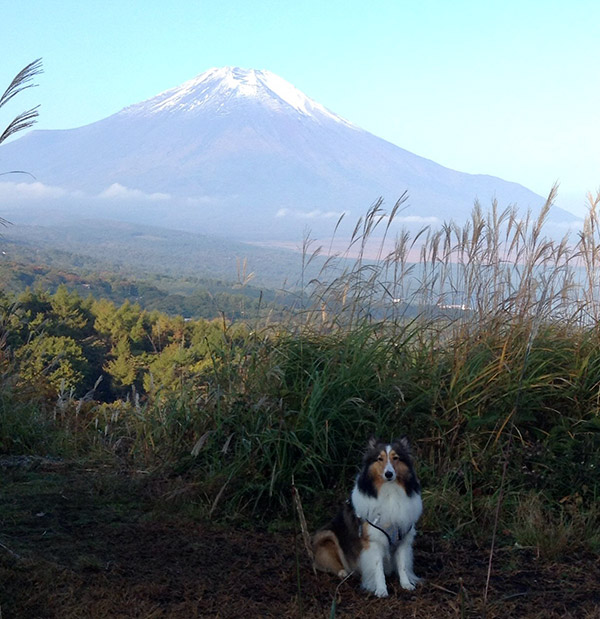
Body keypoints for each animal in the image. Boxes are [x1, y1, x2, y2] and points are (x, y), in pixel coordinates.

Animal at [314, 438, 422, 600]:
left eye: (396, 458)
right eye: (380, 458)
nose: (388, 474)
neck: (390, 491)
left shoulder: (403, 538)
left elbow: (402, 565)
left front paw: (406, 584)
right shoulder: (373, 542)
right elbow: (378, 568)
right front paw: (381, 590)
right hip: (327, 535)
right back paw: (343, 572)